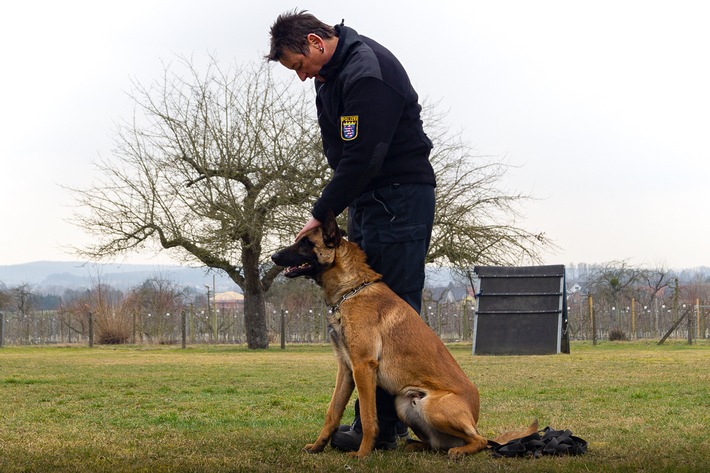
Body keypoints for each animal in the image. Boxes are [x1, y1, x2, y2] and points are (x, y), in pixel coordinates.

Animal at [272, 214, 536, 458]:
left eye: (305, 243)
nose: (273, 257)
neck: (352, 290)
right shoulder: (346, 370)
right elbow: (332, 412)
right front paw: (317, 447)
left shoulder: (363, 367)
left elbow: (368, 417)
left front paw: (362, 454)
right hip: (404, 404)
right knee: (437, 443)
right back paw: (416, 445)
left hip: (431, 406)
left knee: (479, 440)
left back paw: (459, 450)